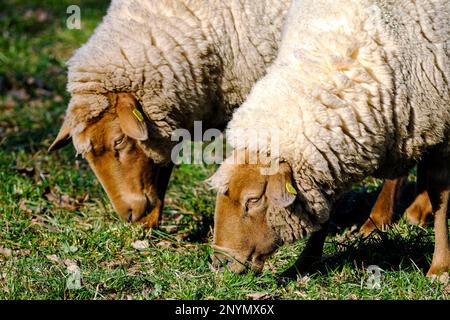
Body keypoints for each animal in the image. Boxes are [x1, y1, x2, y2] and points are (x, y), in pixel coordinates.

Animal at [210, 0, 450, 276]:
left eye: (253, 200)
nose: (219, 262)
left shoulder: (441, 126)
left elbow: (440, 195)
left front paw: (440, 268)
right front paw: (305, 262)